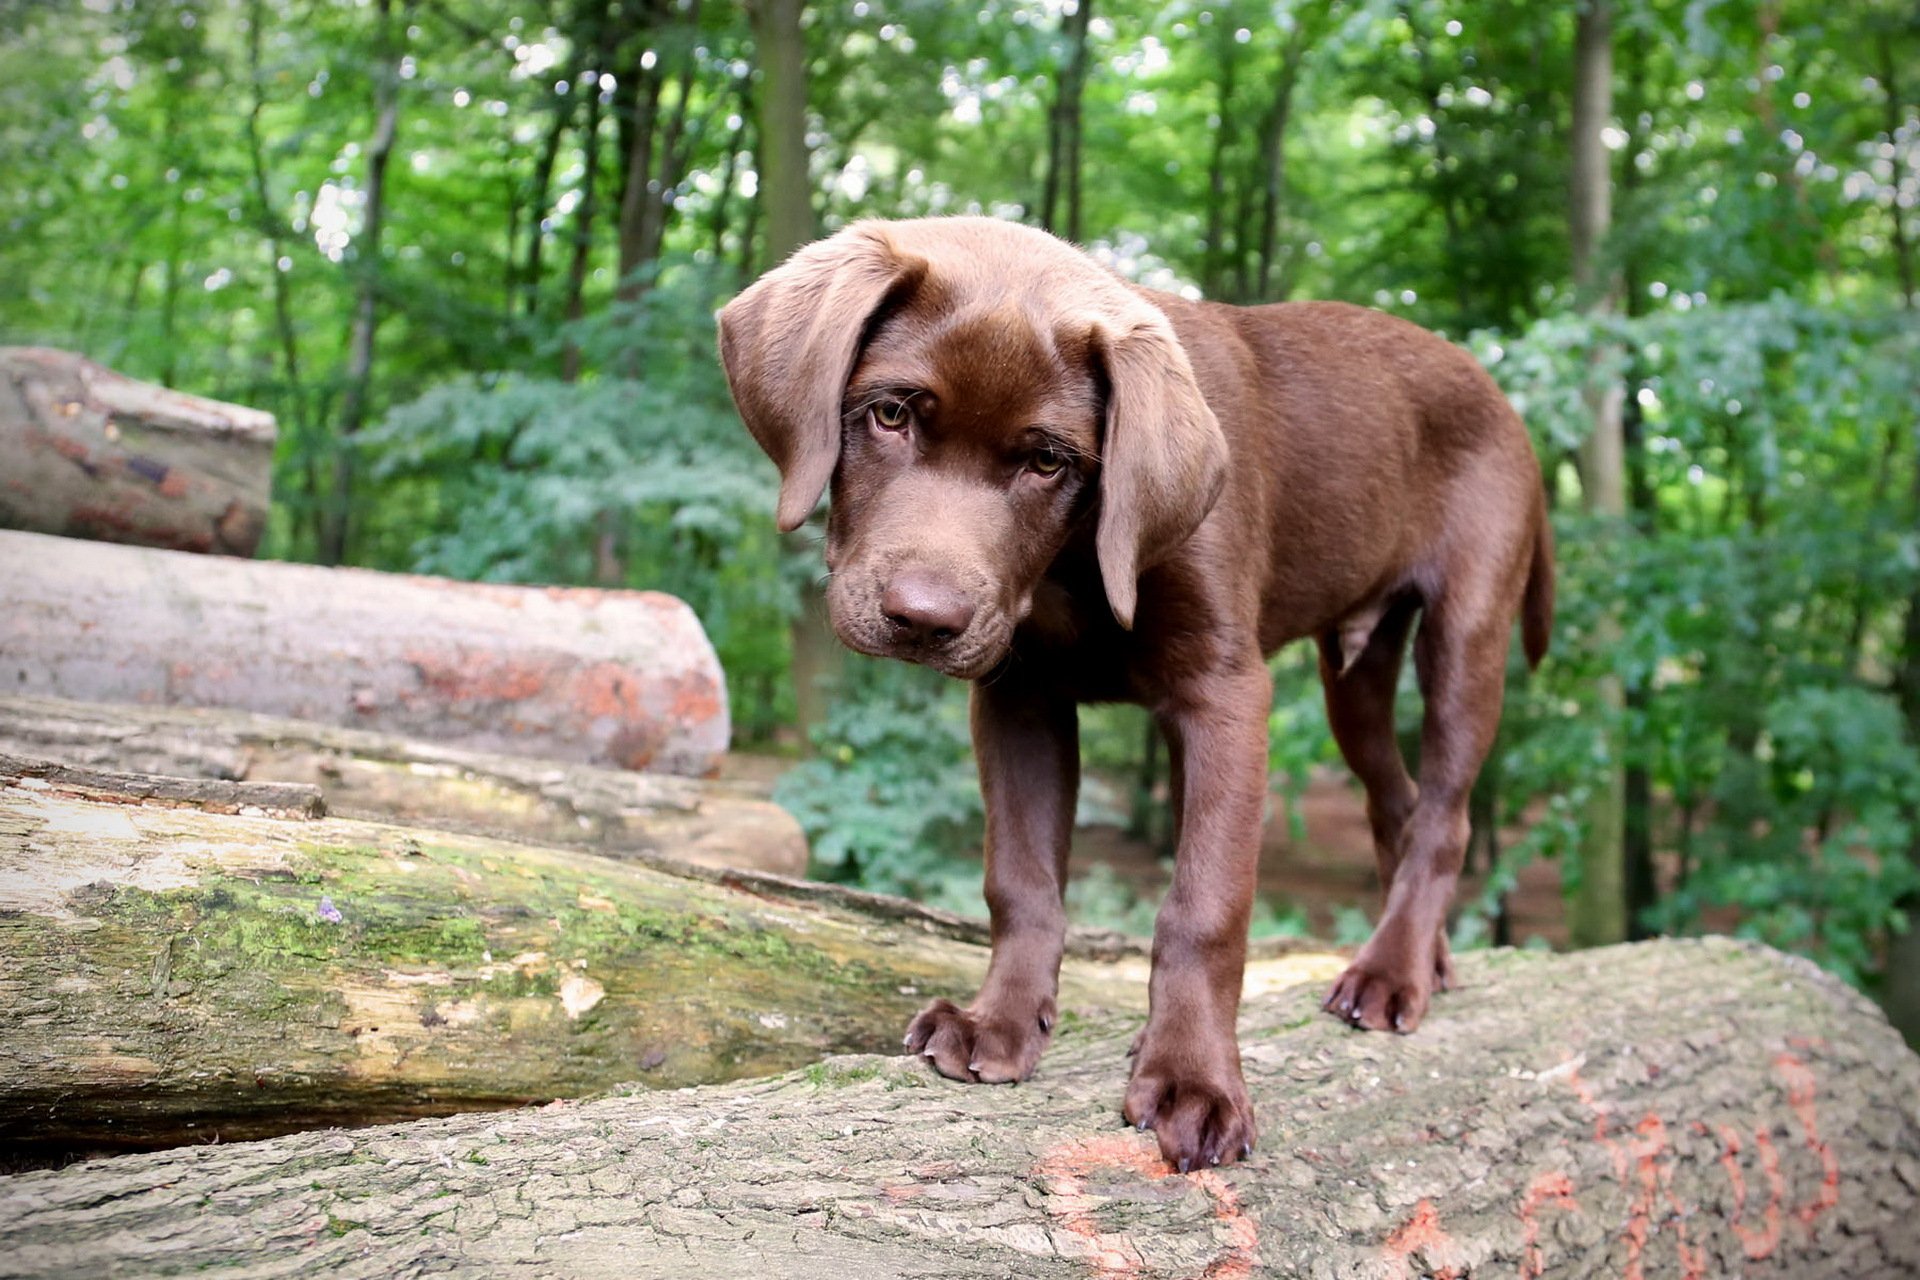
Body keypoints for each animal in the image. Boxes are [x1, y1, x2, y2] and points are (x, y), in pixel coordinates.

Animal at [718, 217, 1543, 1174]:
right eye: (890, 414)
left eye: (1048, 459)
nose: (924, 620)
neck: (1073, 562)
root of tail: (1496, 391)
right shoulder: (1021, 696)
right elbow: (1022, 879)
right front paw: (1001, 1021)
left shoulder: (1225, 696)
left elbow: (1205, 903)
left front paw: (1193, 1079)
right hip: (1357, 674)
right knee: (1396, 802)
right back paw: (1424, 957)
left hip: (1468, 631)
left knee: (1445, 811)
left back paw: (1390, 972)